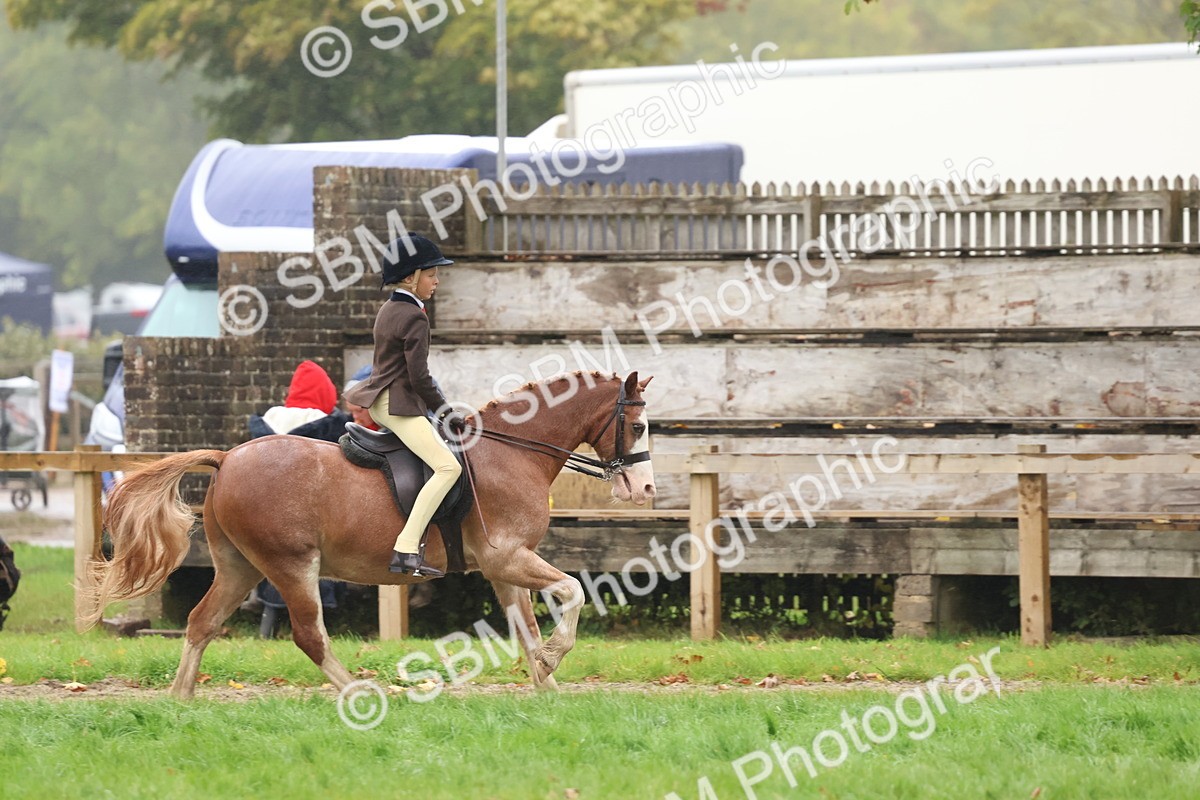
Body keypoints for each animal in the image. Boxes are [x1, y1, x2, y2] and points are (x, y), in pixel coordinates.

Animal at [85, 371, 656, 699]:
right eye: (639, 426)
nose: (646, 488)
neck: (514, 451)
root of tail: (228, 458)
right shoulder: (508, 558)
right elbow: (573, 591)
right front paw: (554, 661)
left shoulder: (506, 568)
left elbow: (526, 628)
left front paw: (548, 685)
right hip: (292, 565)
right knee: (309, 634)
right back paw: (361, 692)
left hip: (240, 567)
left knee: (202, 623)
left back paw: (181, 700)